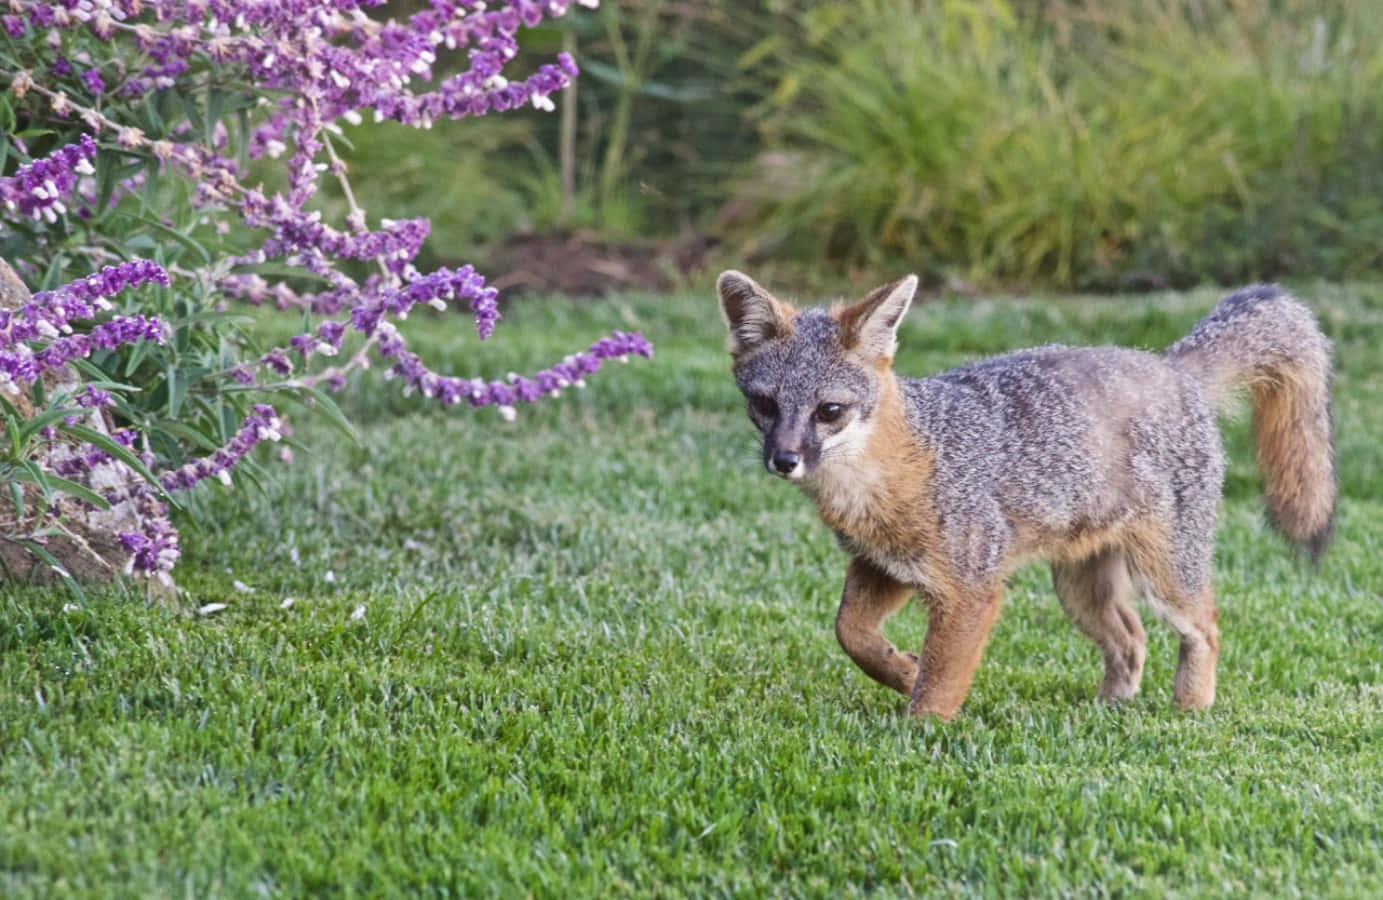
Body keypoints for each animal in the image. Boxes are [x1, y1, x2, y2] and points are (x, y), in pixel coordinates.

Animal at [716, 270, 1336, 720]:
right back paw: (1109, 710)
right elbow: (851, 633)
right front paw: (900, 669)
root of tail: (1169, 364)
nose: (784, 460)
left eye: (830, 411)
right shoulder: (886, 566)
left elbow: (941, 681)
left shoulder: (970, 589)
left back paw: (1190, 709)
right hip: (1080, 590)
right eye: (765, 405)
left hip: (1165, 576)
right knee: (1131, 638)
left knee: (1205, 626)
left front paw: (918, 734)